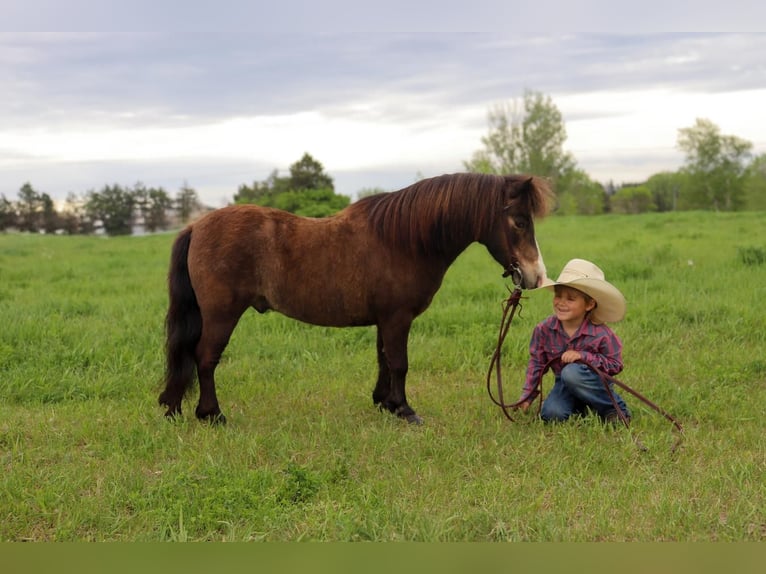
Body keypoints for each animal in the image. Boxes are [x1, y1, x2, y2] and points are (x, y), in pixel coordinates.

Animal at [160, 173, 552, 426]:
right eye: (519, 222)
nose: (536, 276)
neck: (403, 241)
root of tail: (195, 226)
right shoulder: (397, 318)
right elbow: (399, 363)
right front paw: (405, 410)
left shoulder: (385, 319)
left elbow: (383, 360)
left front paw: (385, 403)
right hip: (221, 315)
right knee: (205, 358)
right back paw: (212, 414)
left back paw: (176, 409)